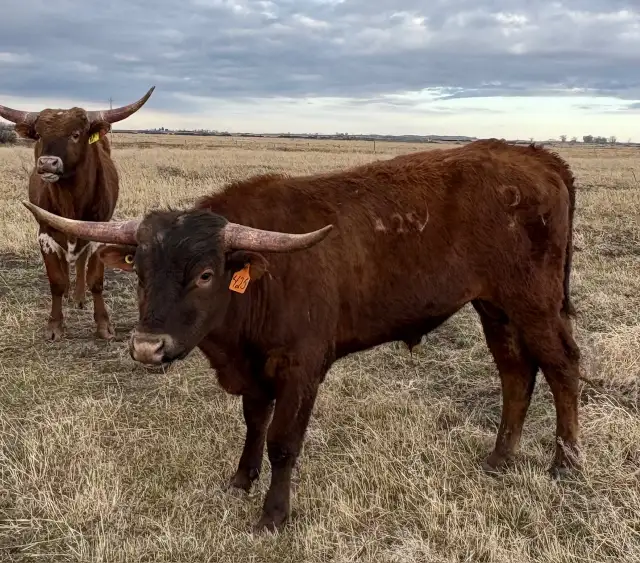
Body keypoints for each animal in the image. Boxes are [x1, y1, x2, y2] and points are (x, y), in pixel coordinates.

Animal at [0, 86, 155, 340]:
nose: (47, 164)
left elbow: (96, 280)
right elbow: (56, 280)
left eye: (75, 134)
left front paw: (103, 324)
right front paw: (55, 325)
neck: (69, 200)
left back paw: (79, 297)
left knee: (81, 262)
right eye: (39, 135)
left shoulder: (99, 231)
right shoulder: (45, 233)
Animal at [22, 138, 582, 533]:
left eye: (205, 274)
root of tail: (538, 157)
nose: (146, 347)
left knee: (562, 367)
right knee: (515, 373)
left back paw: (566, 463)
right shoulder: (253, 371)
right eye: (139, 272)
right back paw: (500, 458)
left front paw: (274, 514)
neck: (262, 284)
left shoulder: (302, 369)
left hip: (533, 304)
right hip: (496, 308)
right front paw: (241, 480)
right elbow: (253, 424)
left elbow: (283, 441)